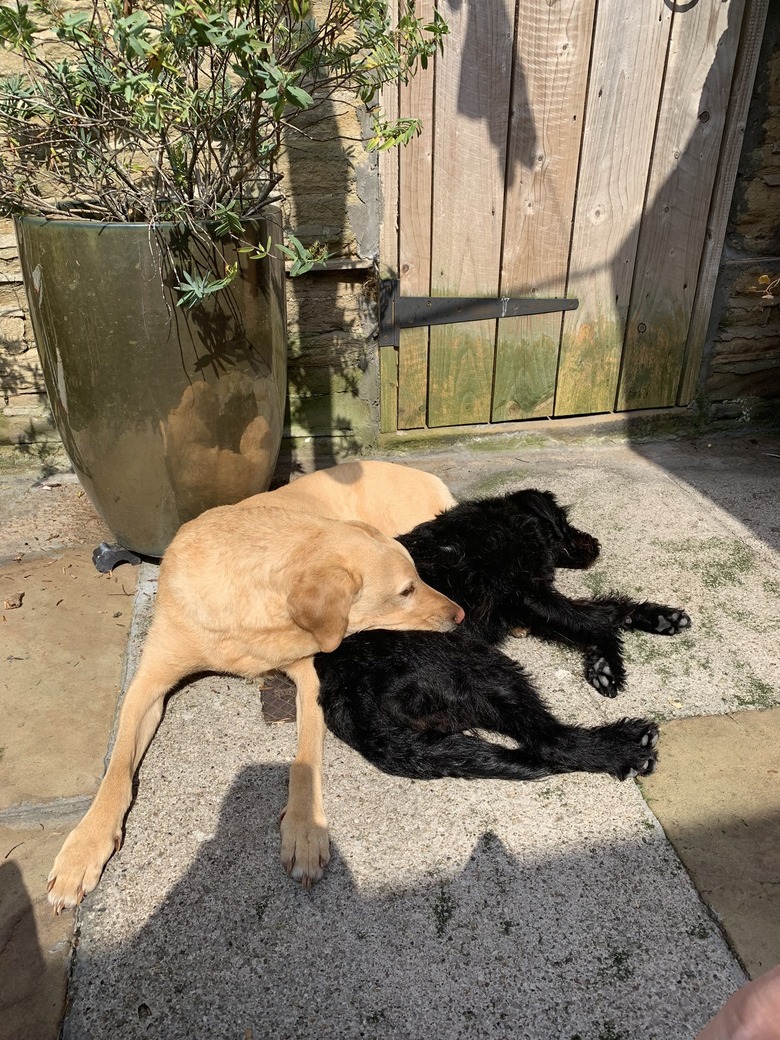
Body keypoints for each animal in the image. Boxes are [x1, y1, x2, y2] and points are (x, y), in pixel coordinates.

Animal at [314, 490, 694, 782]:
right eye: (565, 521)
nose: (594, 543)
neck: (507, 519)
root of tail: (348, 698)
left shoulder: (527, 608)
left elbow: (595, 613)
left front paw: (655, 618)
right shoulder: (528, 594)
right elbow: (594, 618)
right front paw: (610, 657)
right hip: (491, 674)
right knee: (551, 741)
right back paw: (625, 748)